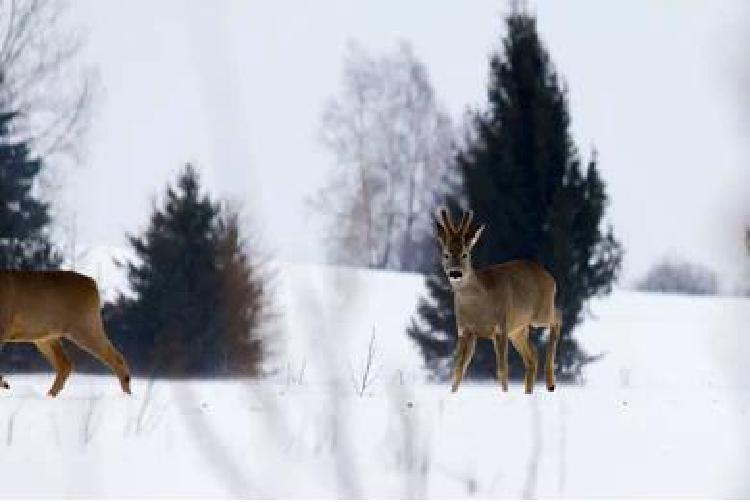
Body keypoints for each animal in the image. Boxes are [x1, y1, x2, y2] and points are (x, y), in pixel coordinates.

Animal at [0, 270, 131, 396]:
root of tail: (93, 284)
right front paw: (5, 383)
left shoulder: (4, 327)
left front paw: (5, 384)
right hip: (47, 336)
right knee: (65, 364)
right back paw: (50, 395)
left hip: (84, 325)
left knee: (116, 358)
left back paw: (126, 394)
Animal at [434, 207, 564, 392]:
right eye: (446, 254)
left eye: (465, 254)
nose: (455, 273)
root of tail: (549, 276)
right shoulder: (465, 330)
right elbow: (459, 369)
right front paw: (452, 394)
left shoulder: (500, 327)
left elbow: (502, 369)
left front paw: (505, 393)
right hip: (518, 329)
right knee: (532, 357)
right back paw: (529, 392)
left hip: (539, 314)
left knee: (558, 317)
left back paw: (550, 383)